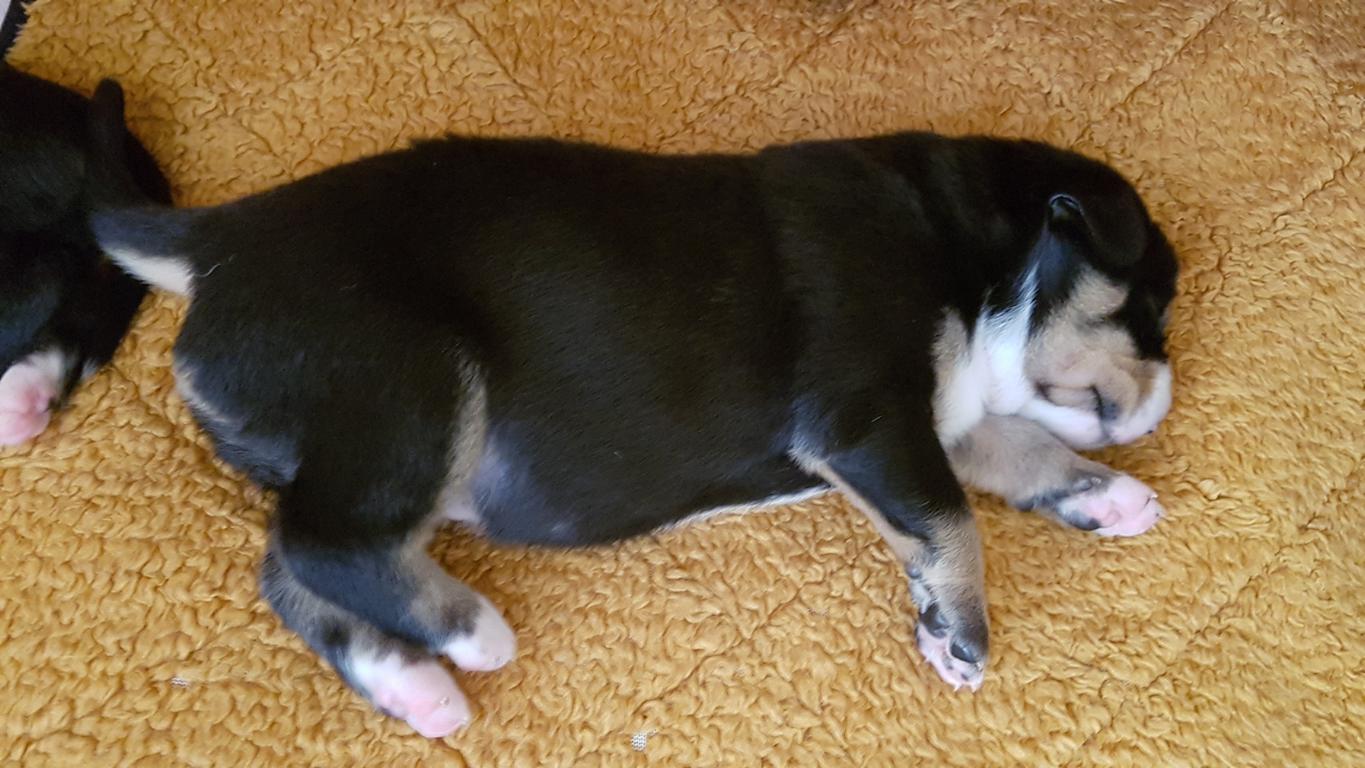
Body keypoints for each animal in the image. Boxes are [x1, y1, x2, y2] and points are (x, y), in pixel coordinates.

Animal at [91, 121, 1177, 737]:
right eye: (1153, 306)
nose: (1164, 397)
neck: (967, 247)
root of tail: (221, 237)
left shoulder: (932, 419)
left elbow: (1017, 453)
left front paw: (1108, 499)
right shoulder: (868, 414)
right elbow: (952, 517)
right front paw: (962, 634)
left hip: (343, 438)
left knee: (290, 567)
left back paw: (412, 686)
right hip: (407, 382)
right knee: (326, 543)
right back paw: (467, 632)